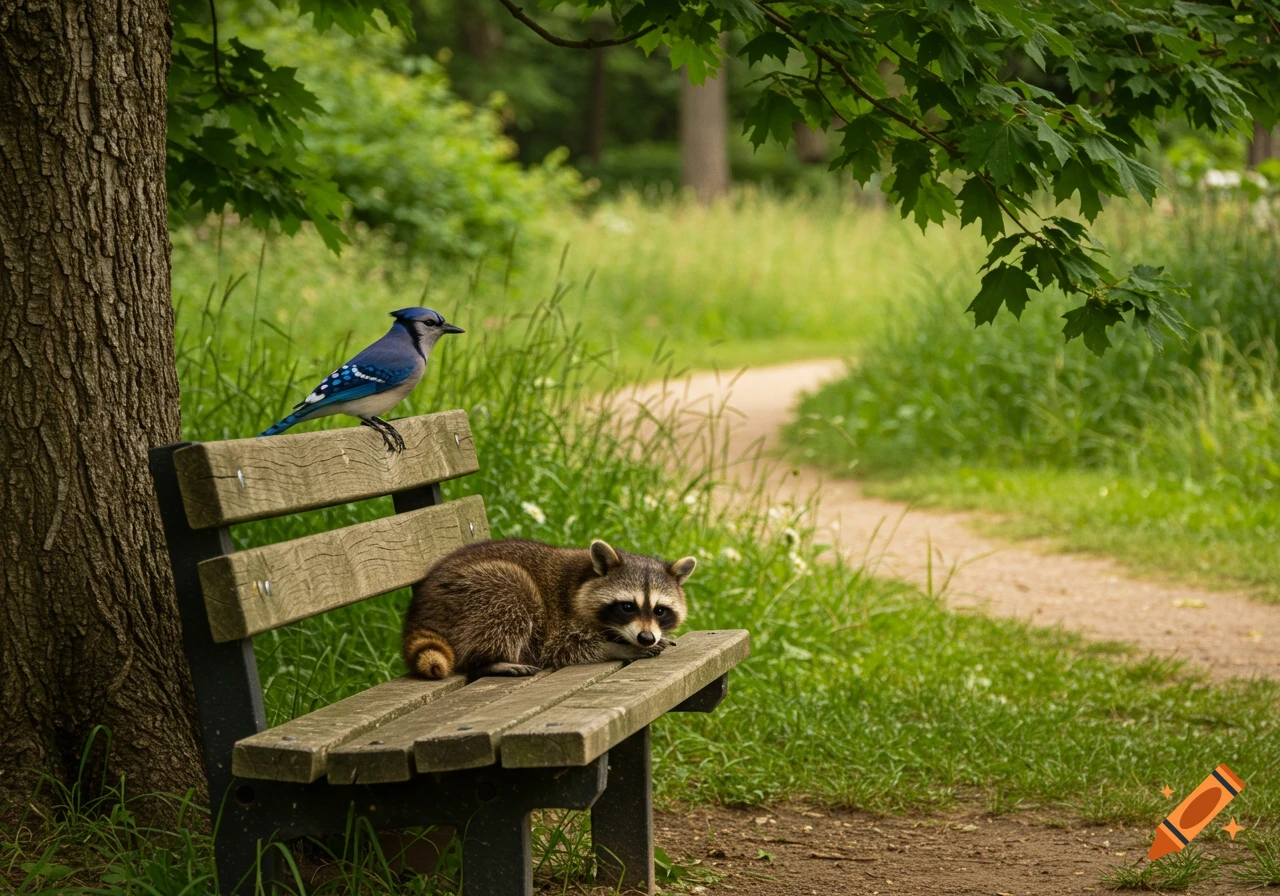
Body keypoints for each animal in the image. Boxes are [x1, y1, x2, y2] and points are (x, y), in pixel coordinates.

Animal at [402, 538, 696, 679]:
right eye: (627, 606)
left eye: (660, 611)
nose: (646, 638)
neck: (584, 578)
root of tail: (420, 610)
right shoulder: (560, 619)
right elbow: (565, 649)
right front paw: (618, 647)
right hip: (477, 591)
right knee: (513, 593)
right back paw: (490, 662)